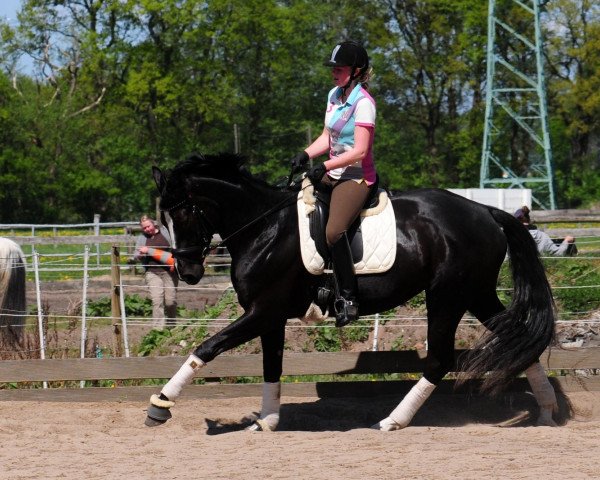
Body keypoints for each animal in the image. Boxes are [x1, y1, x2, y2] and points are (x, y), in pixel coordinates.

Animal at [144, 155, 556, 432]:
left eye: (183, 214)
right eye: (161, 219)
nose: (189, 272)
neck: (264, 228)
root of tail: (486, 211)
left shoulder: (263, 311)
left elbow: (207, 348)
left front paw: (161, 404)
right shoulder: (270, 317)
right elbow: (271, 366)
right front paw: (267, 421)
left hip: (448, 296)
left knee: (441, 359)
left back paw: (391, 421)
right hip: (477, 294)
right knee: (520, 340)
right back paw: (548, 411)